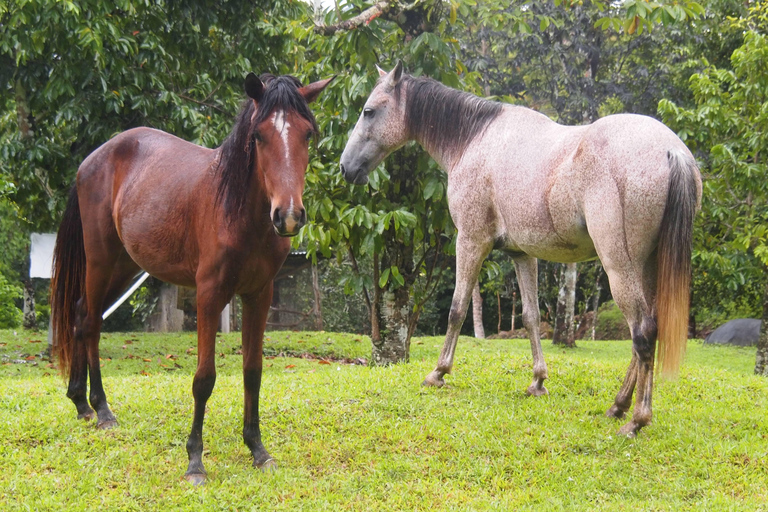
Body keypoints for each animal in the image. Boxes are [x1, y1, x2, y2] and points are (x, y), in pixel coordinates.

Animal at [50, 73, 332, 484]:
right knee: (89, 323)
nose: (289, 215)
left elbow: (253, 371)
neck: (238, 212)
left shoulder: (259, 295)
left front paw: (257, 449)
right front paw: (195, 461)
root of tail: (91, 160)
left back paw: (81, 403)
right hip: (101, 259)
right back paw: (102, 410)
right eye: (258, 136)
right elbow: (204, 378)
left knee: (82, 313)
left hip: (125, 266)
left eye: (307, 134)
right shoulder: (209, 295)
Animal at [342, 61, 704, 436]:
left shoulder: (470, 240)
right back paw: (618, 406)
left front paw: (438, 373)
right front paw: (538, 381)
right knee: (646, 332)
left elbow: (457, 309)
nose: (346, 167)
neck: (475, 139)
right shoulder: (522, 254)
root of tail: (672, 152)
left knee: (643, 333)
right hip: (646, 267)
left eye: (369, 111)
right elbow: (531, 316)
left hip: (620, 267)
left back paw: (636, 419)